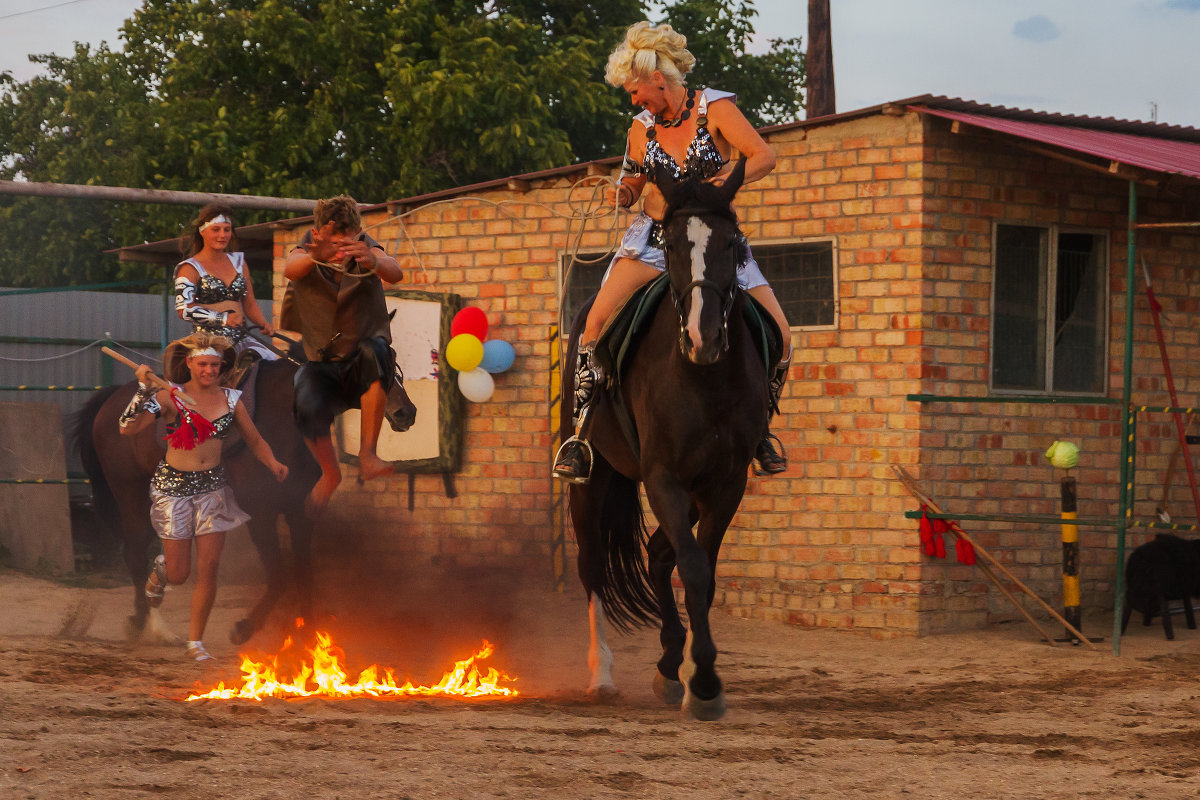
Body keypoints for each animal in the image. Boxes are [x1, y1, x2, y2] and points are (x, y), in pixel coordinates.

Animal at [71, 352, 417, 647]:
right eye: (377, 372)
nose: (406, 412)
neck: (283, 422)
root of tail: (111, 397)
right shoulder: (261, 514)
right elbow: (279, 576)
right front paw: (244, 628)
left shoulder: (299, 514)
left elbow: (303, 574)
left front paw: (309, 636)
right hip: (129, 493)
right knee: (135, 552)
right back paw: (147, 624)